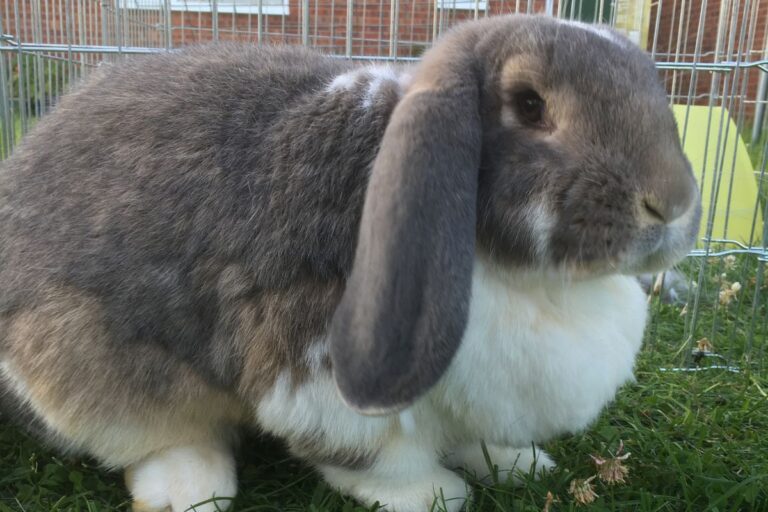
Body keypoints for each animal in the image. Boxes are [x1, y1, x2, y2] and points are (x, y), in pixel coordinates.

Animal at [0, 14, 701, 512]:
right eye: (530, 105)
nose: (670, 205)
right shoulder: (317, 369)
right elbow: (376, 458)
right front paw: (433, 493)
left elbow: (475, 439)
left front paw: (520, 464)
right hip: (83, 366)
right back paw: (188, 489)